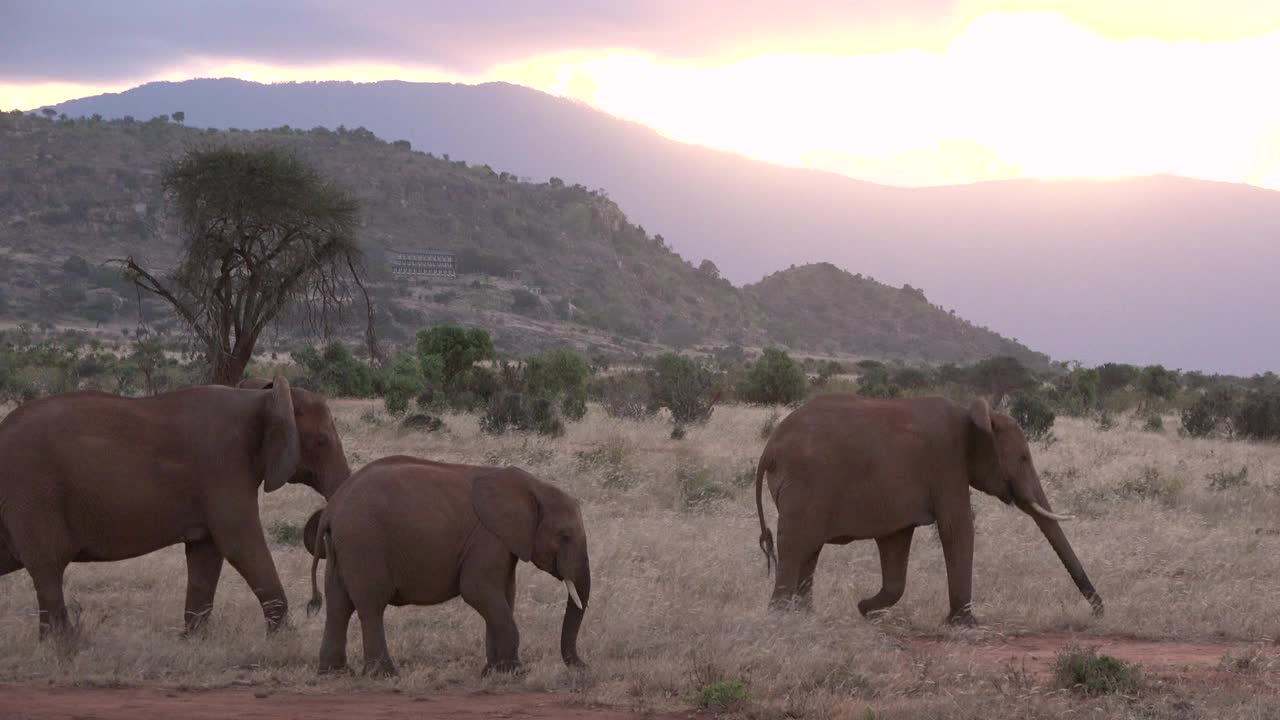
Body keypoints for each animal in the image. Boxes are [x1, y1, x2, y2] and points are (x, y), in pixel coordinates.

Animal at [0, 376, 350, 638]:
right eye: (322, 441)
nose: (313, 605)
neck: (262, 398)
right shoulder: (223, 467)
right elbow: (239, 544)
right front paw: (283, 640)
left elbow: (206, 553)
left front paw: (194, 640)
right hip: (33, 493)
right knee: (47, 566)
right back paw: (65, 645)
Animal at [304, 453, 588, 671]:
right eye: (565, 536)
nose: (583, 666)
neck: (533, 487)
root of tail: (331, 510)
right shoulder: (487, 538)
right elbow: (478, 591)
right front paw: (513, 672)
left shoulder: (503, 543)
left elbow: (505, 595)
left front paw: (493, 671)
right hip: (363, 542)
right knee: (371, 605)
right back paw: (383, 674)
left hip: (342, 548)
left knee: (338, 605)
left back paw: (334, 672)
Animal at [752, 392, 1105, 622]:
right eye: (1023, 458)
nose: (1100, 611)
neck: (973, 416)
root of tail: (769, 448)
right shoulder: (945, 463)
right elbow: (957, 527)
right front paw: (964, 624)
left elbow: (896, 542)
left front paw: (865, 609)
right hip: (804, 483)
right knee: (796, 545)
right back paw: (781, 619)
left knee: (809, 549)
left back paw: (805, 617)